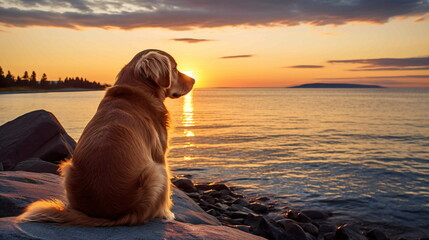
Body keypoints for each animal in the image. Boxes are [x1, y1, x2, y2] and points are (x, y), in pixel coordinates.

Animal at [18, 49, 194, 227]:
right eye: (174, 68)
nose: (194, 80)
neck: (137, 88)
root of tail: (107, 215)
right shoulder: (159, 155)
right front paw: (167, 213)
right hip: (155, 172)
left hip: (67, 168)